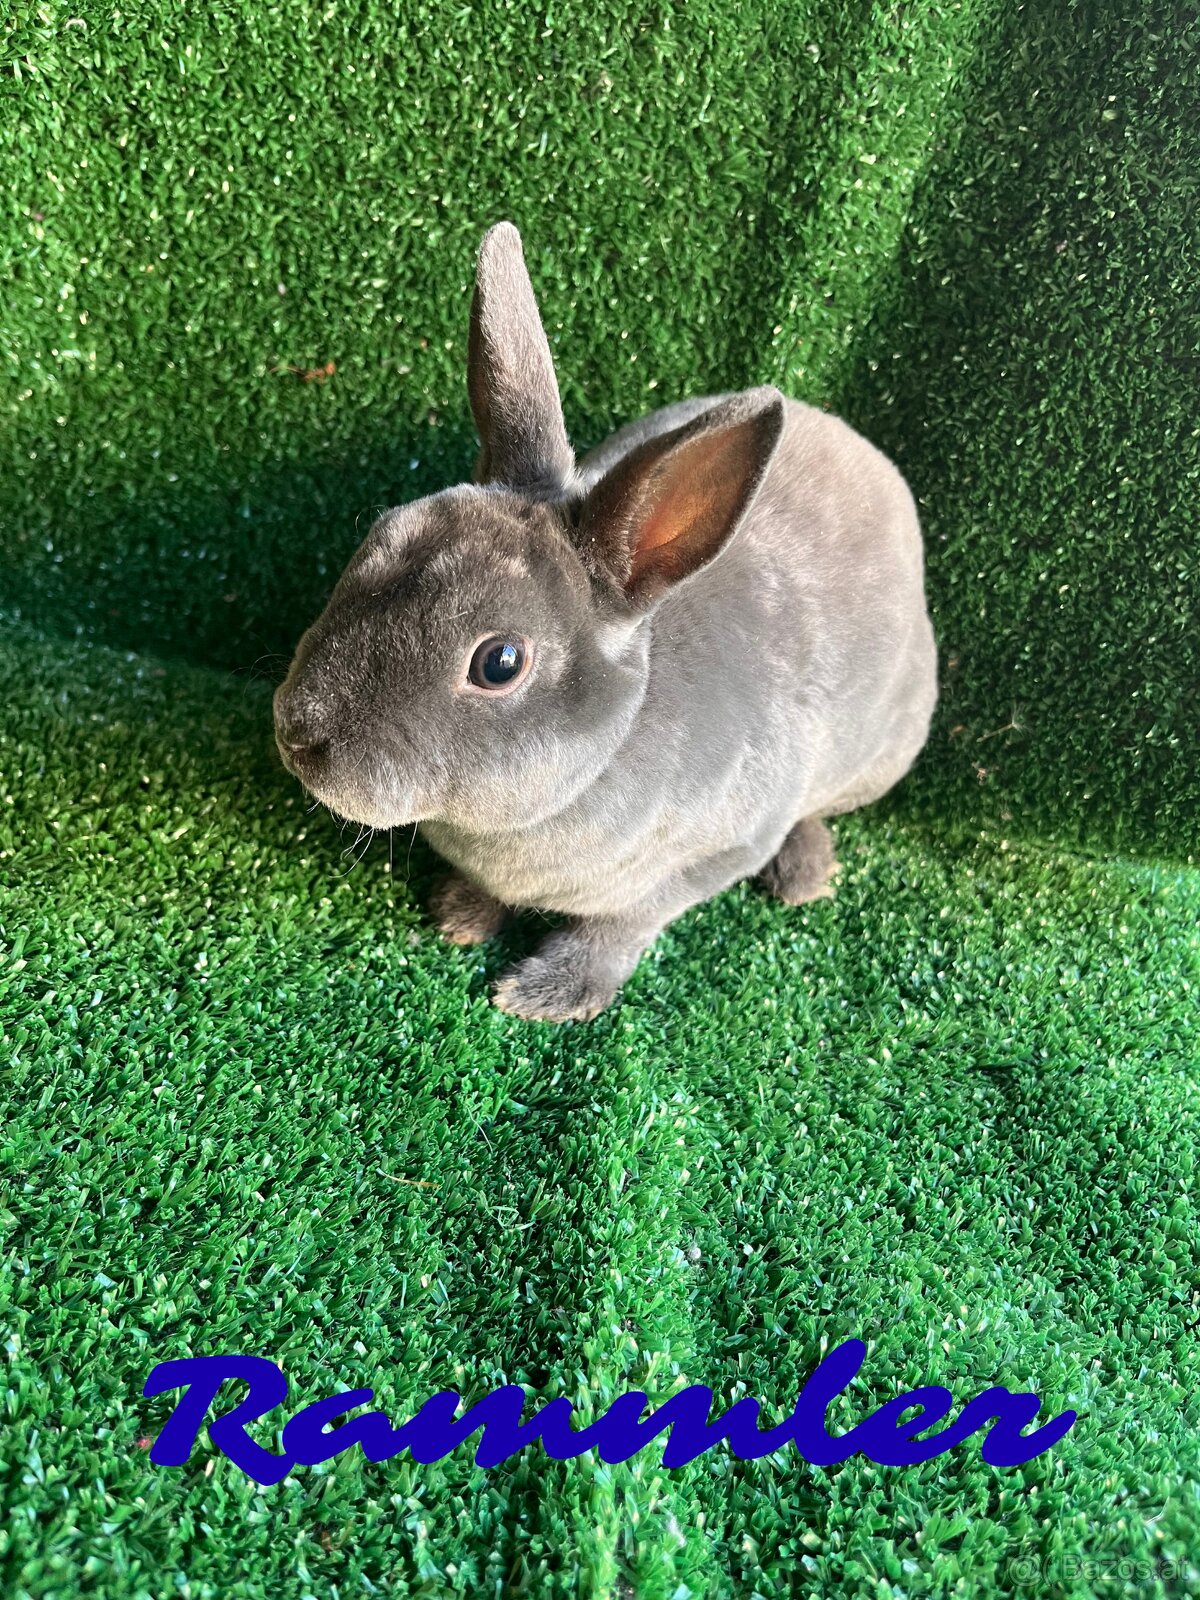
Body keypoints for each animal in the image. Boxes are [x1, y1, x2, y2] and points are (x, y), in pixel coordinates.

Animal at [273, 222, 938, 1022]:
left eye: (499, 662)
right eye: (379, 538)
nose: (296, 733)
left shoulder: (710, 857)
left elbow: (623, 927)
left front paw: (545, 994)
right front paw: (461, 915)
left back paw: (803, 875)